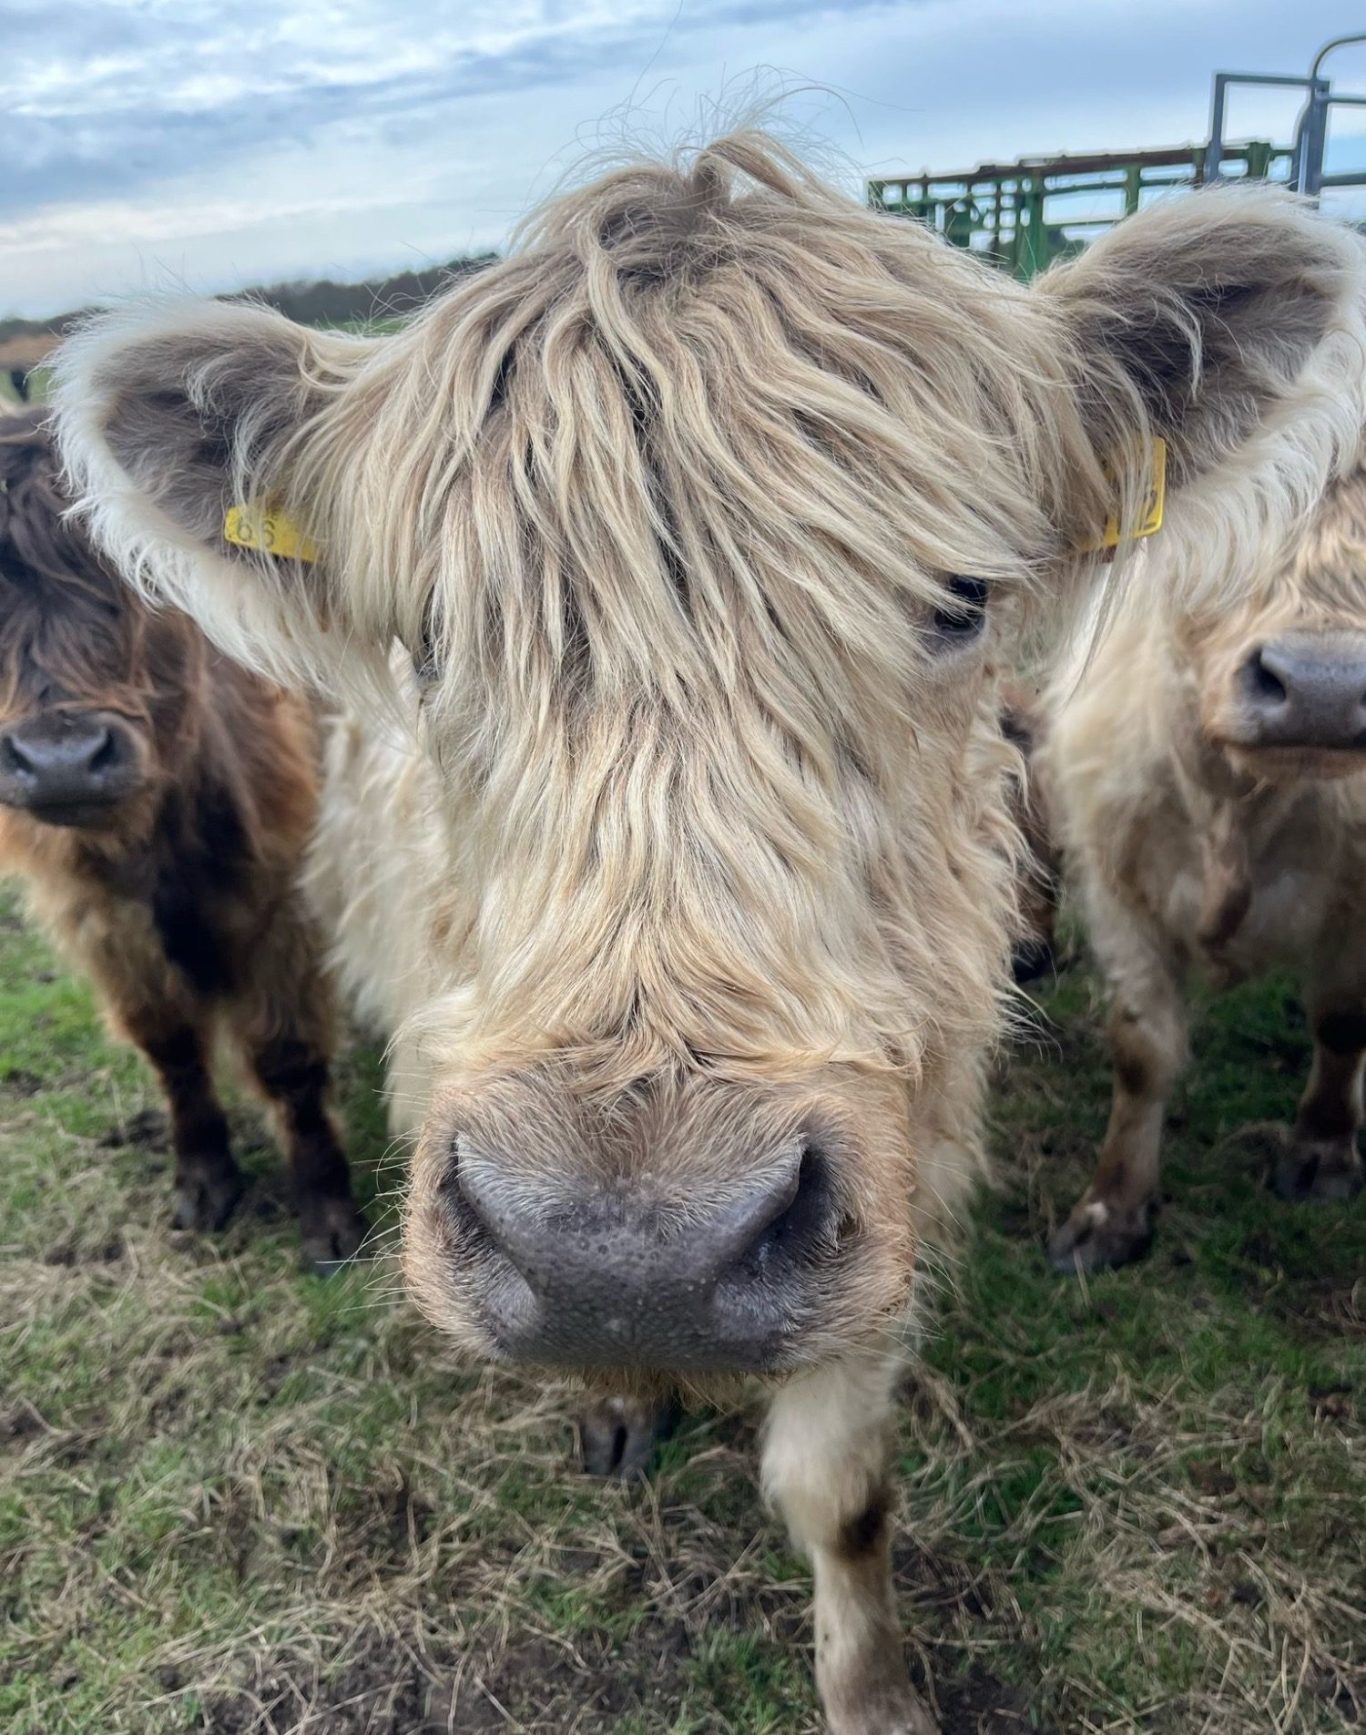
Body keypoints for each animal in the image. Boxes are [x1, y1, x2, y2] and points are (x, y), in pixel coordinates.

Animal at [0, 410, 366, 1272]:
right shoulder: (98, 920)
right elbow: (167, 1043)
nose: (61, 759)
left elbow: (286, 1057)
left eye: (133, 569)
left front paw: (329, 1214)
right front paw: (204, 1179)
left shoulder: (282, 902)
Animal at [1044, 452, 1366, 1274]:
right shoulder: (1118, 882)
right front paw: (1111, 1212)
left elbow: (1343, 1020)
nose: (1322, 689)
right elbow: (1141, 1049)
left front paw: (1322, 1150)